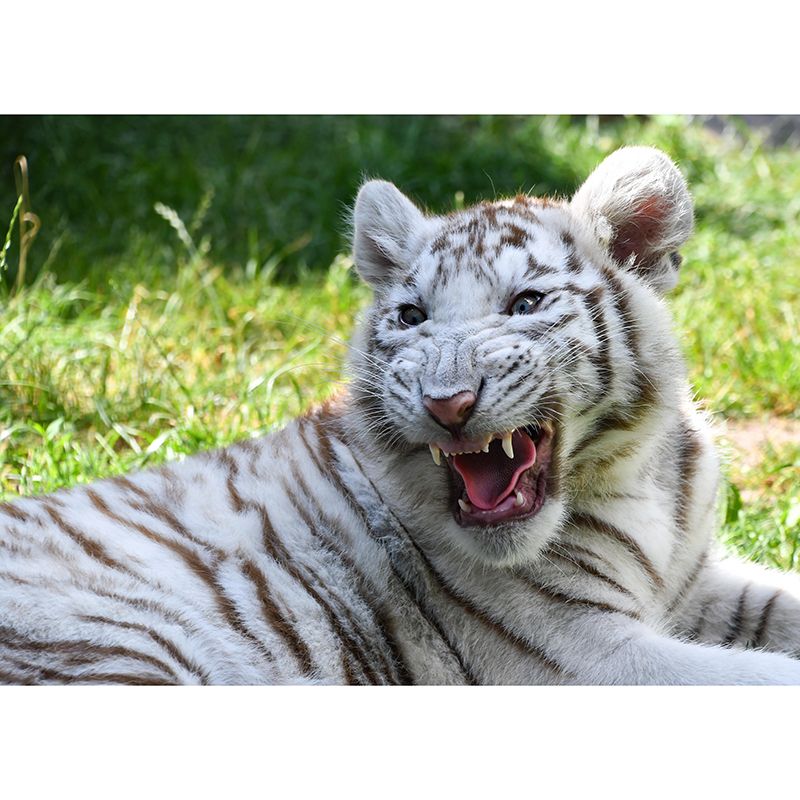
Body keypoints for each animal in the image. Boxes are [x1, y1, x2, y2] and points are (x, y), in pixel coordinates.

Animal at [2, 145, 800, 684]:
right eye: (413, 317)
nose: (448, 405)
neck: (634, 473)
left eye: (526, 304)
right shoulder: (580, 651)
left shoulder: (695, 584)